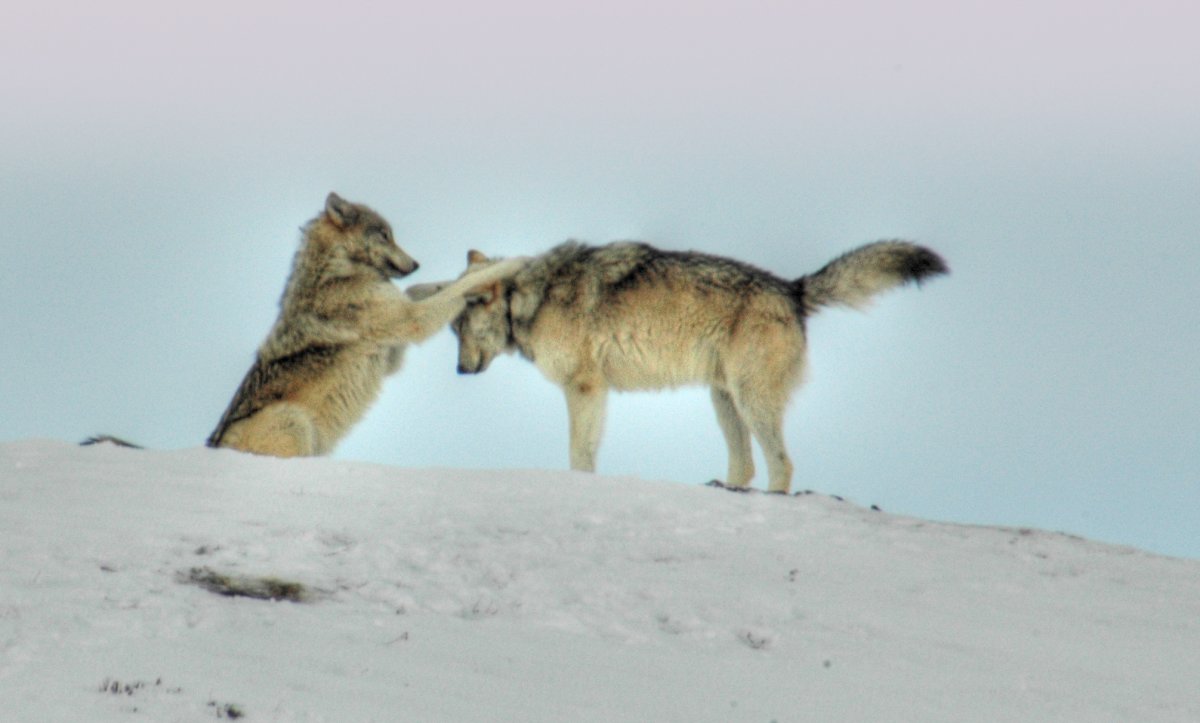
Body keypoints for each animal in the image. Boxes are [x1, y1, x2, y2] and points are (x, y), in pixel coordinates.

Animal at [204, 192, 524, 457]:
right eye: (385, 235)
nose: (416, 264)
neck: (339, 271)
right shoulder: (411, 322)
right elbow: (458, 289)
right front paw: (506, 264)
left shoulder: (391, 350)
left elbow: (424, 290)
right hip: (295, 421)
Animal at [426, 240, 947, 493]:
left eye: (459, 329)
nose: (459, 371)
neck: (531, 297)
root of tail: (792, 289)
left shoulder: (585, 388)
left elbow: (579, 456)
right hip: (724, 400)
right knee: (747, 466)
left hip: (750, 400)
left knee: (781, 464)